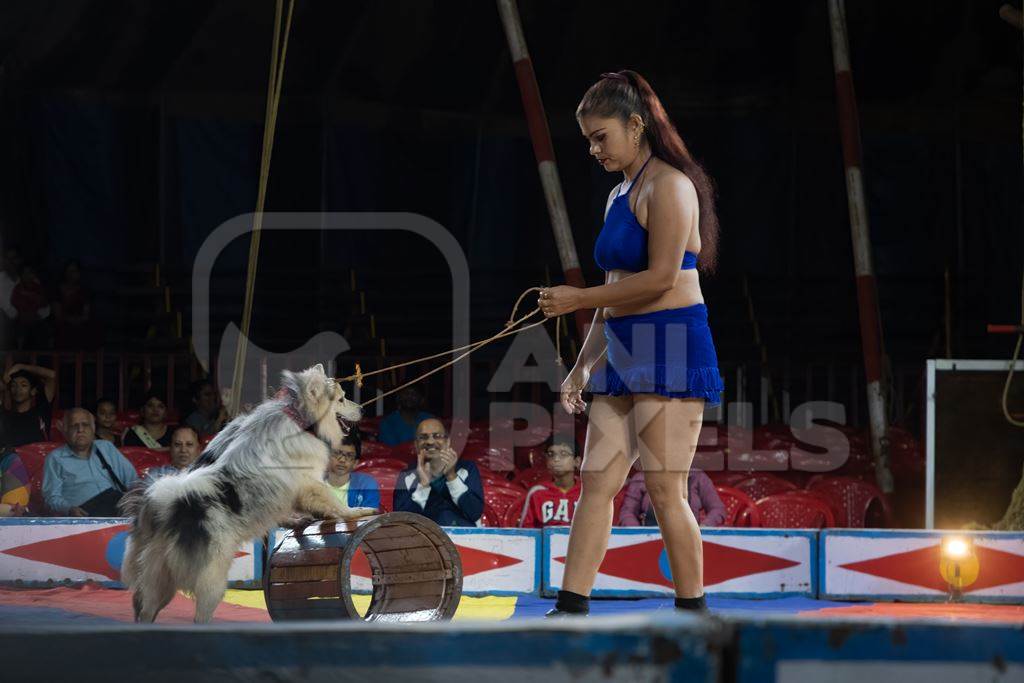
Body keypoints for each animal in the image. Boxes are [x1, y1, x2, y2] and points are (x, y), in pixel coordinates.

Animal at [119, 366, 374, 622]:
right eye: (341, 399)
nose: (363, 409)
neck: (299, 418)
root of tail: (168, 509)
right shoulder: (308, 482)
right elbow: (333, 501)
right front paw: (355, 512)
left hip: (158, 577)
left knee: (146, 608)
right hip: (212, 578)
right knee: (199, 614)